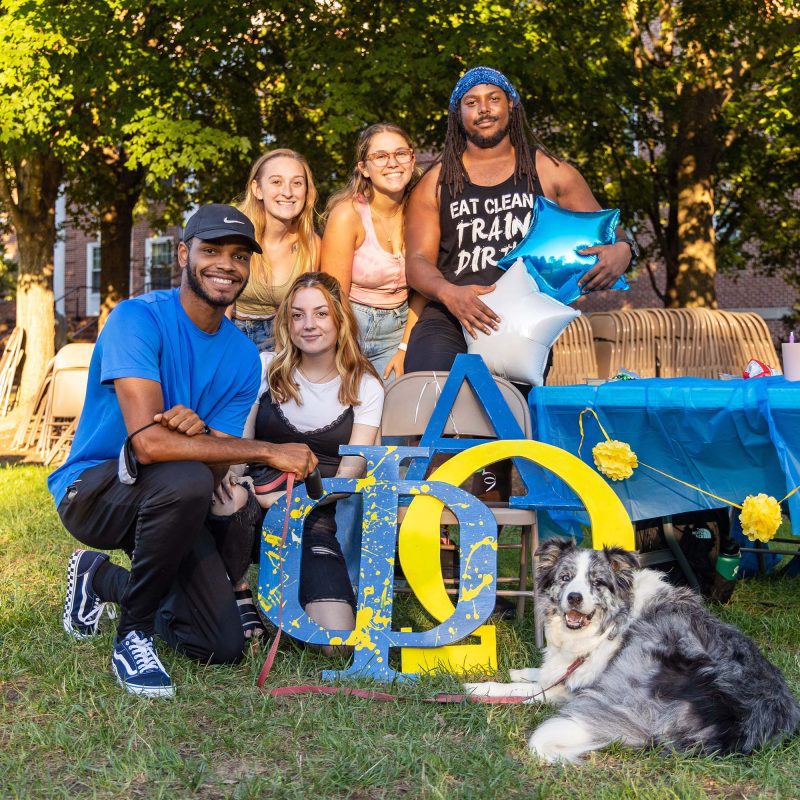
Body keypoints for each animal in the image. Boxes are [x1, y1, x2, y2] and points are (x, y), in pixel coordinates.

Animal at [462, 536, 800, 764]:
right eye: (565, 578)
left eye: (598, 582)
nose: (573, 597)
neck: (609, 625)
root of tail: (739, 728)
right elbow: (544, 673)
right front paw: (525, 670)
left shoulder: (575, 687)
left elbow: (528, 690)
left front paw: (478, 687)